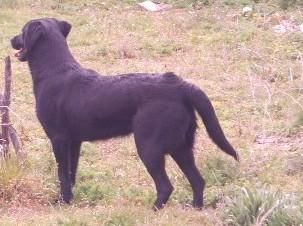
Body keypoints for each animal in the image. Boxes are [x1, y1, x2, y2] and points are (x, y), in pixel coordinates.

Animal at [11, 17, 240, 210]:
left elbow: (62, 174)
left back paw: (153, 210)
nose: (11, 39)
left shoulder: (58, 138)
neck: (53, 70)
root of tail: (180, 85)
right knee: (198, 180)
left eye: (22, 31)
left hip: (149, 146)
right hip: (181, 146)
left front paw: (62, 203)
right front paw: (70, 201)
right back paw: (195, 209)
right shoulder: (74, 142)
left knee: (166, 186)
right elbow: (71, 174)